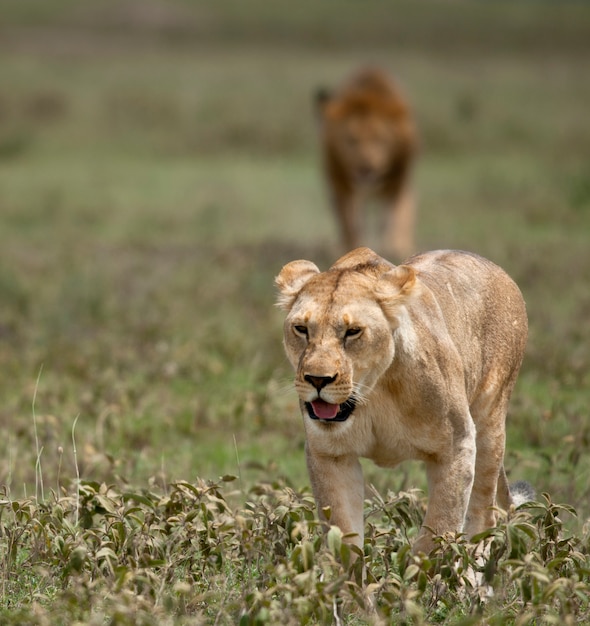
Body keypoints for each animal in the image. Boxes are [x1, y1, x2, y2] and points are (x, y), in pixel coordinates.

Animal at [276, 245, 532, 552]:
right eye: (301, 329)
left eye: (353, 332)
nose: (317, 379)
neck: (373, 394)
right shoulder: (330, 454)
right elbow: (344, 535)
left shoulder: (458, 444)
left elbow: (438, 532)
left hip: (489, 425)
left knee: (484, 516)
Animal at [316, 69, 418, 260]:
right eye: (351, 140)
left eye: (380, 139)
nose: (366, 169)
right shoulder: (341, 184)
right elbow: (351, 224)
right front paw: (354, 250)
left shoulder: (399, 180)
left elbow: (395, 217)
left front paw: (395, 249)